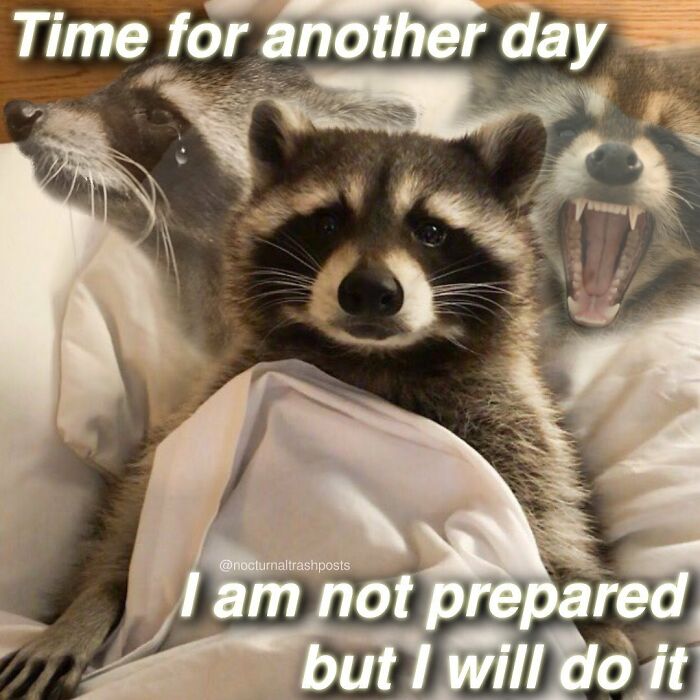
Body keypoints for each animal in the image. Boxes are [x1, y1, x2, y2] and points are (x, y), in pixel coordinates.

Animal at [0, 104, 637, 700]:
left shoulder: (513, 427)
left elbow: (548, 523)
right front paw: (89, 604)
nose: (371, 291)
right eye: (328, 221)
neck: (375, 361)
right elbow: (135, 518)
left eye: (430, 231)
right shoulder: (214, 397)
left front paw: (589, 616)